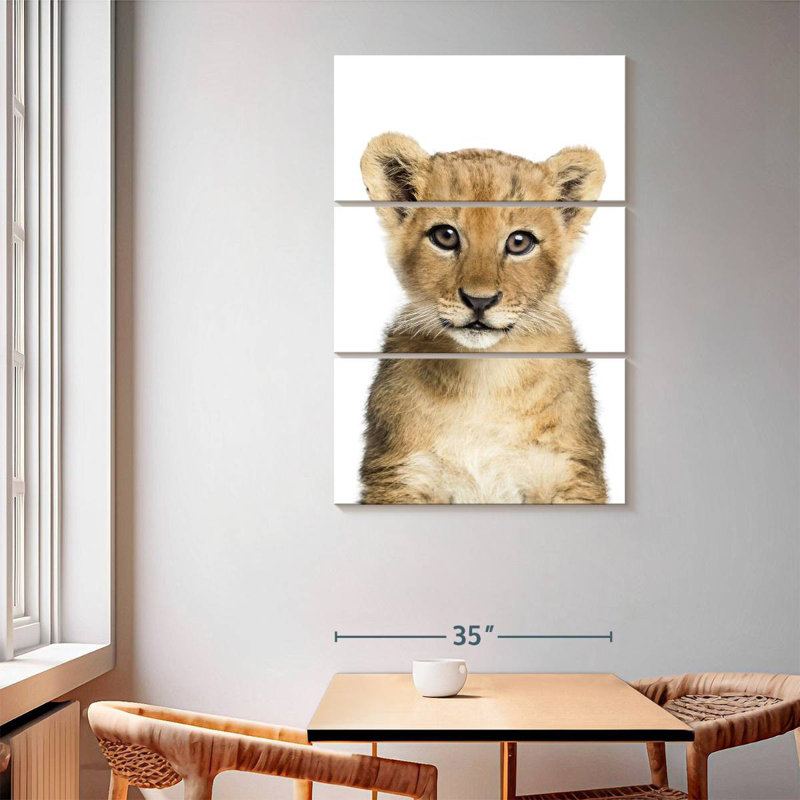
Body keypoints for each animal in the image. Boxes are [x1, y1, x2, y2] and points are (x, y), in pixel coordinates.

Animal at [357, 133, 608, 504]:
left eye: (519, 242)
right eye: (445, 236)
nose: (480, 300)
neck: (484, 376)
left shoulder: (569, 473)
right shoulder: (400, 474)